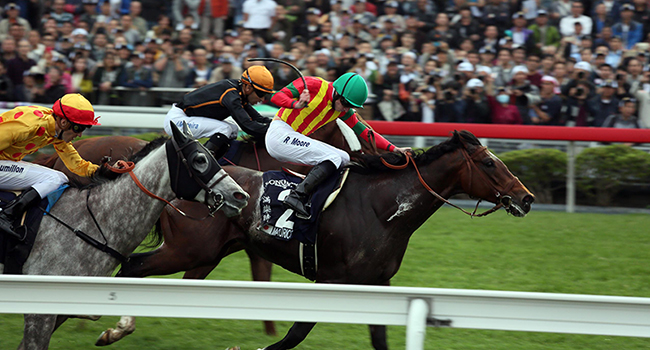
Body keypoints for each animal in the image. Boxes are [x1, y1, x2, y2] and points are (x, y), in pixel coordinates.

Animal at [119, 131, 536, 350]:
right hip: (186, 249)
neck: (383, 208)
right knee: (131, 267)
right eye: (489, 163)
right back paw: (115, 325)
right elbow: (294, 334)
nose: (527, 198)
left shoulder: (378, 284)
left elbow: (380, 339)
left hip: (205, 256)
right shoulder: (332, 280)